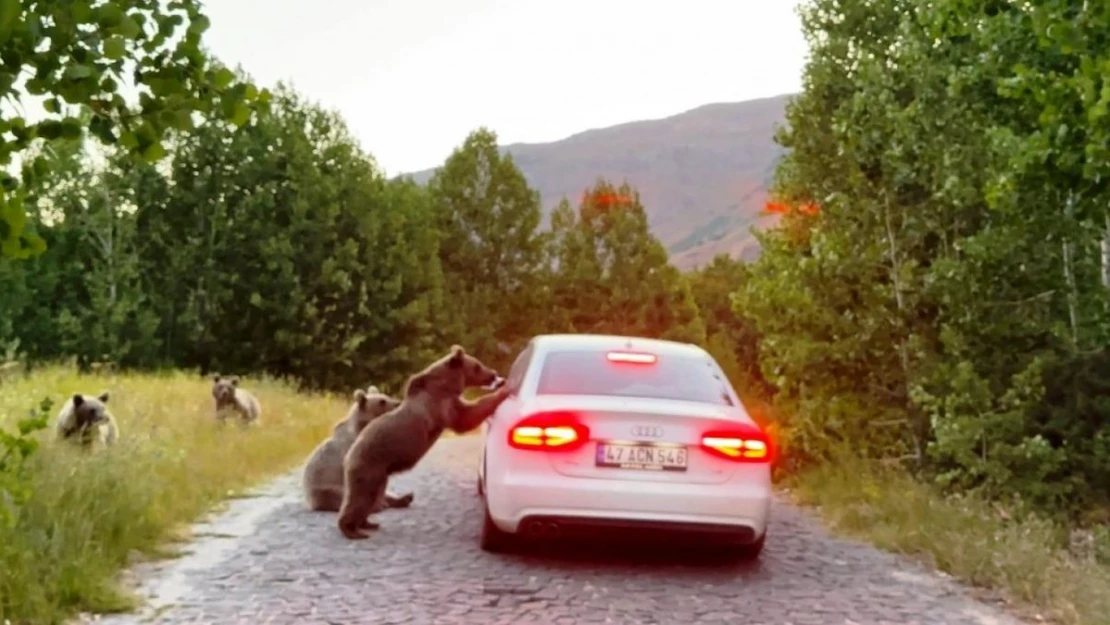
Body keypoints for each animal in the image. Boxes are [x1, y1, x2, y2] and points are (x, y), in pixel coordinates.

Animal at [337, 344, 510, 539]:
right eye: (477, 366)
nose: (494, 374)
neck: (448, 384)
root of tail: (349, 455)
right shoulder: (441, 404)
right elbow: (466, 416)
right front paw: (503, 392)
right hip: (369, 466)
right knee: (361, 497)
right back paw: (352, 529)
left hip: (380, 473)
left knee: (371, 497)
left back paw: (368, 523)